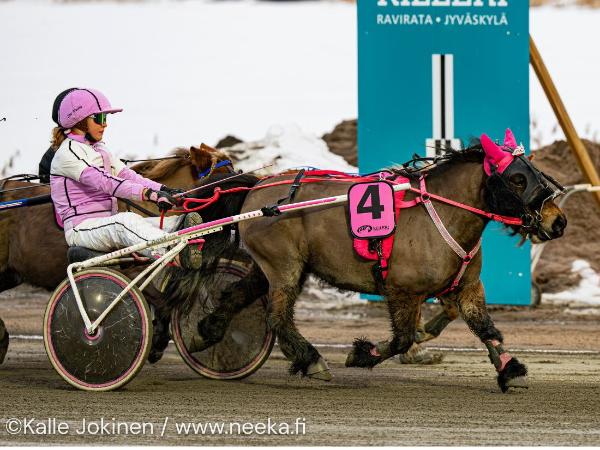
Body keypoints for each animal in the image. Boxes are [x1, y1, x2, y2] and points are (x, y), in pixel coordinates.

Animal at [183, 130, 567, 392]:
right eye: (517, 178)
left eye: (535, 172)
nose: (558, 221)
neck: (441, 213)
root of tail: (255, 188)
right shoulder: (403, 291)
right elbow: (403, 338)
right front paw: (362, 354)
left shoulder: (468, 286)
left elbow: (486, 329)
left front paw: (510, 369)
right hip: (285, 267)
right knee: (277, 317)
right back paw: (311, 360)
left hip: (275, 268)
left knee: (236, 294)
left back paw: (205, 333)